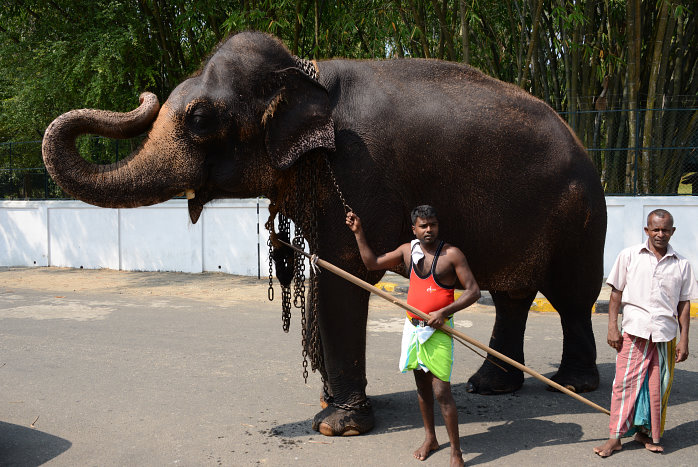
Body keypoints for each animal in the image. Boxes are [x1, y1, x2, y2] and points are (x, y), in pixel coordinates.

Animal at [42, 31, 604, 436]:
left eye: (200, 119)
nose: (144, 93)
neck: (305, 72)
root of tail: (580, 140)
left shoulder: (359, 169)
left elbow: (346, 273)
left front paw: (337, 426)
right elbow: (326, 268)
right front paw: (326, 404)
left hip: (579, 211)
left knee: (571, 295)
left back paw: (571, 384)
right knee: (513, 293)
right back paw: (489, 387)